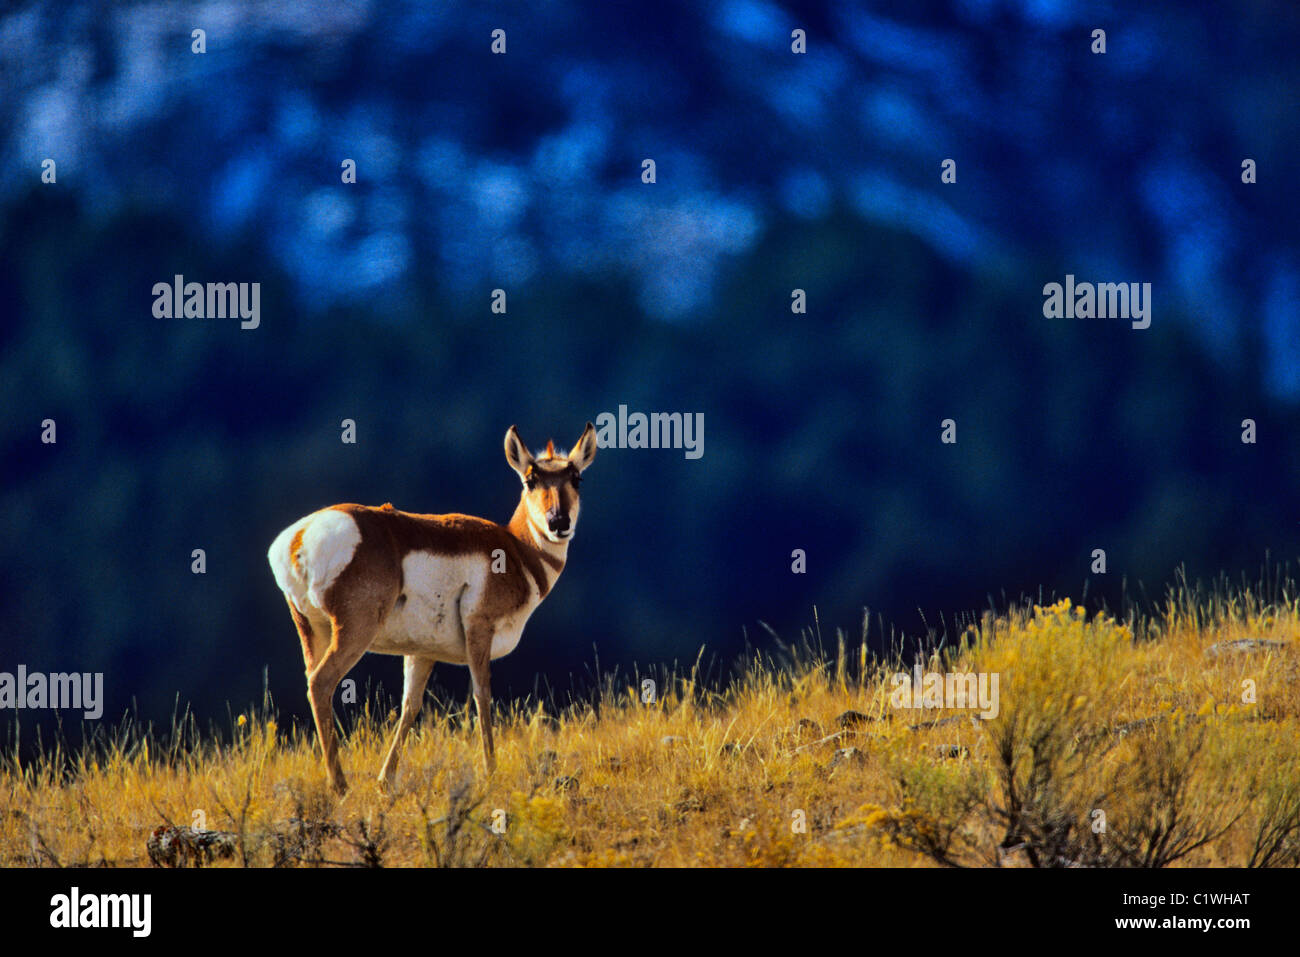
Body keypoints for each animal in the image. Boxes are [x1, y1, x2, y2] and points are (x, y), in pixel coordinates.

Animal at [271, 423, 600, 790]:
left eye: (576, 478)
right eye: (531, 479)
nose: (559, 522)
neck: (517, 551)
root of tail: (300, 536)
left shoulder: (422, 652)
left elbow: (410, 706)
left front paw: (385, 780)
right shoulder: (479, 630)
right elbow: (482, 696)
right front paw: (490, 771)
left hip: (312, 632)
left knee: (314, 681)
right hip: (353, 632)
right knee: (321, 683)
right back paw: (340, 785)